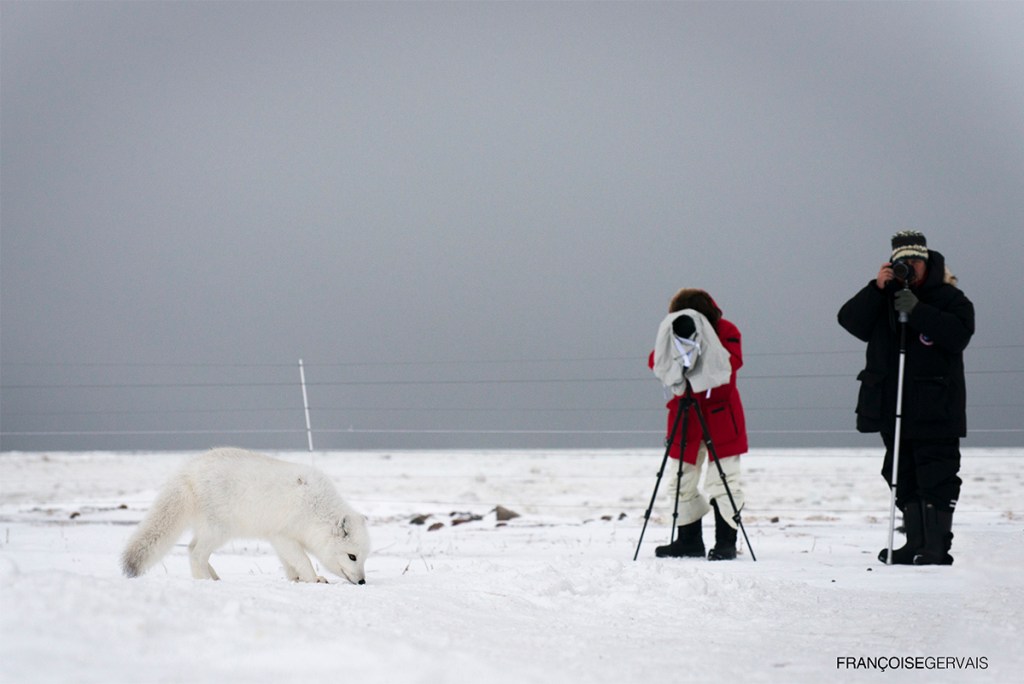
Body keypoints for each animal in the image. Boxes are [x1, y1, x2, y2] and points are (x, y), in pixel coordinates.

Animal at [120, 446, 368, 585]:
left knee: (191, 549)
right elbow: (303, 560)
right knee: (196, 553)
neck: (314, 509)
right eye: (352, 556)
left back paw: (213, 577)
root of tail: (187, 471)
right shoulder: (284, 536)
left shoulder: (278, 539)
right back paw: (205, 581)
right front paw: (314, 579)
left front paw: (296, 579)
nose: (362, 581)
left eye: (363, 558)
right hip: (219, 531)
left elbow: (288, 563)